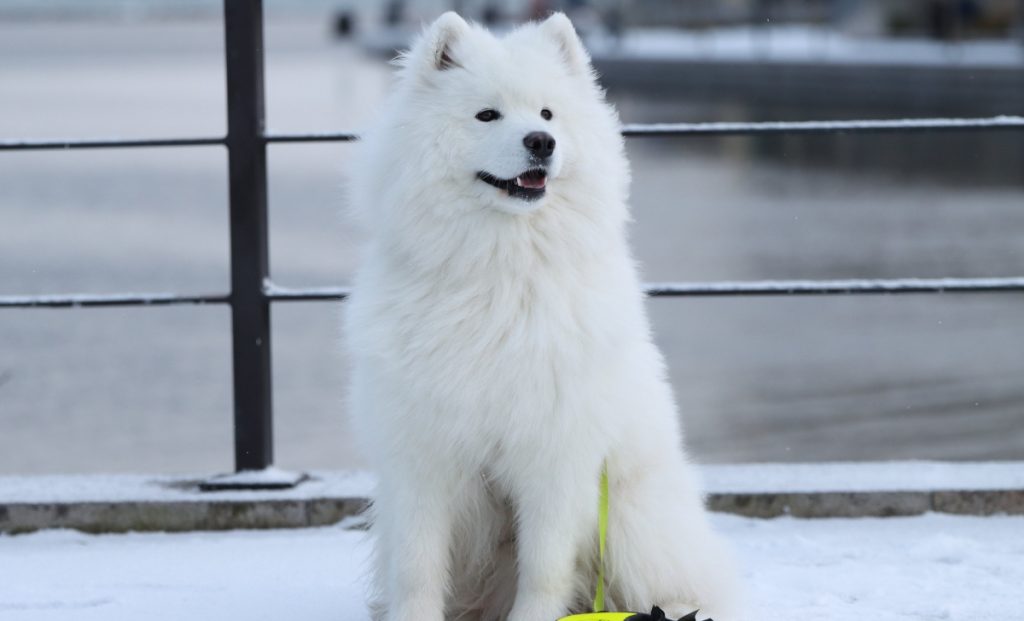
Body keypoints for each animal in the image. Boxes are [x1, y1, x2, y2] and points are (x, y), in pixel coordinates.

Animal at [348, 10, 741, 621]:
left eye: (548, 114)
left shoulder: (557, 457)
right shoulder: (420, 458)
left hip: (629, 518)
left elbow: (545, 568)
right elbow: (417, 569)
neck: (500, 274)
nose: (541, 141)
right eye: (487, 114)